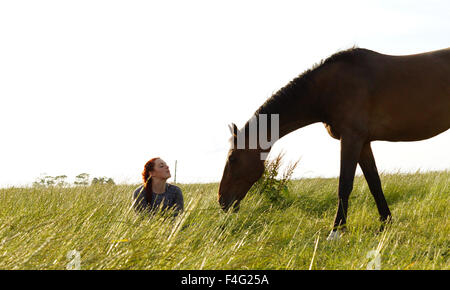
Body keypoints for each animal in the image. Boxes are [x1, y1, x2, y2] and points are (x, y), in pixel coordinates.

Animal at [218, 46, 450, 240]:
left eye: (233, 158)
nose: (222, 201)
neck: (329, 89)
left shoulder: (351, 139)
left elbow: (344, 185)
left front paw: (336, 231)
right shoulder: (363, 143)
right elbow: (374, 183)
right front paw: (385, 224)